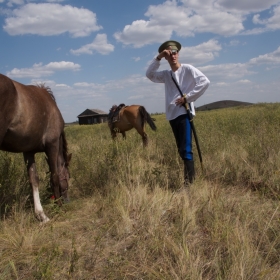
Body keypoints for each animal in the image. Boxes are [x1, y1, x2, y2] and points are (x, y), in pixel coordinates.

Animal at [0, 73, 71, 222]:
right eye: (68, 176)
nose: (67, 200)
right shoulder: (52, 145)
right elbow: (54, 177)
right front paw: (58, 205)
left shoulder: (28, 152)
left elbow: (33, 180)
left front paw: (41, 215)